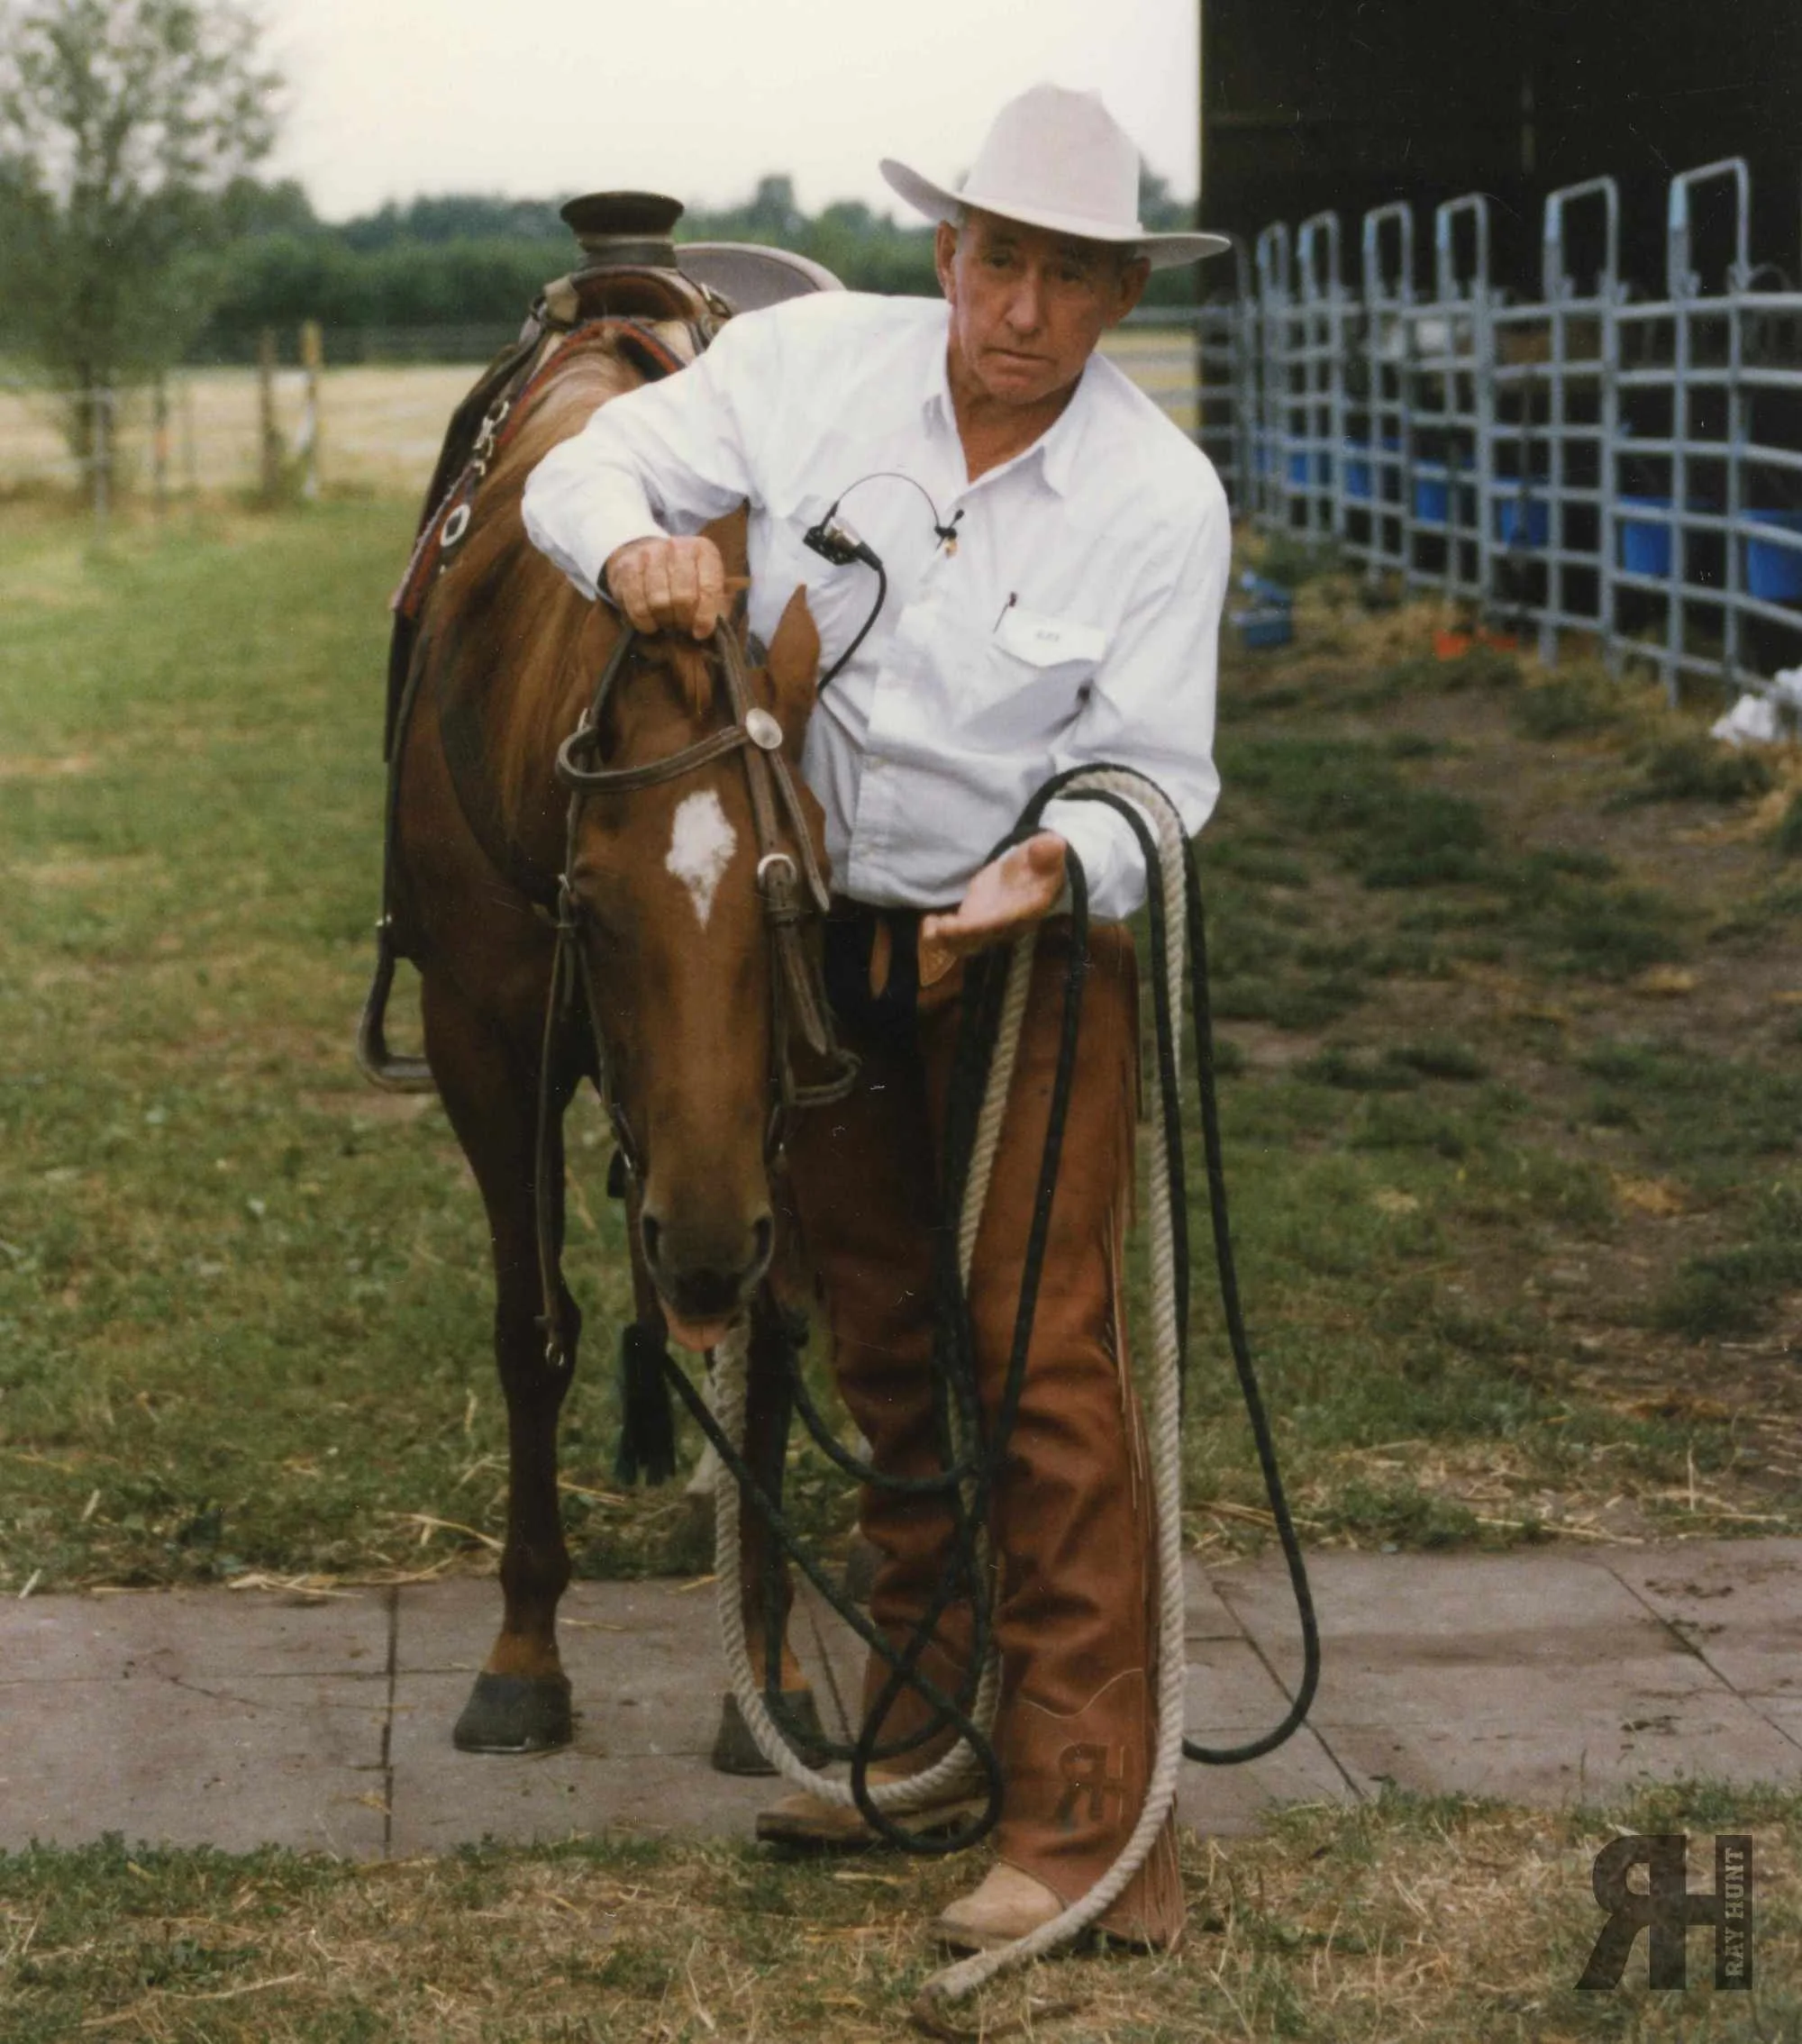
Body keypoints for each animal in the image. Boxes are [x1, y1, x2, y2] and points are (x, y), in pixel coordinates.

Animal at [374, 299, 842, 1760]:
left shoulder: (772, 1114)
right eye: (594, 899)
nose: (705, 1239)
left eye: (796, 895)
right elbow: (534, 1329)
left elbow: (775, 1337)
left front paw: (769, 1669)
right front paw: (524, 1652)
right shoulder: (483, 1049)